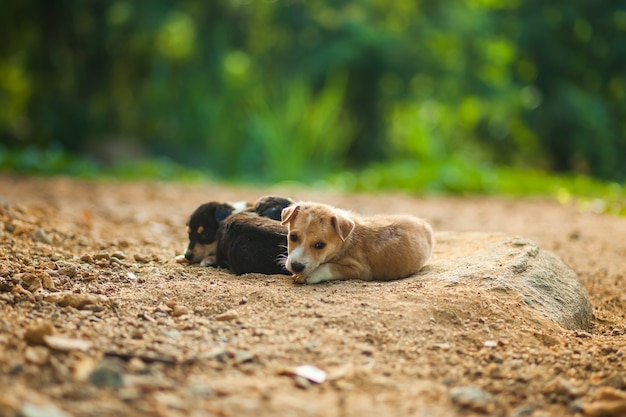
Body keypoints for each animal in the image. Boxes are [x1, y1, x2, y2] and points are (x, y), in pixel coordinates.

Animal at [280, 201, 432, 282]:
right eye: (293, 237)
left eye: (320, 245)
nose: (296, 266)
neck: (344, 242)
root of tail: (423, 223)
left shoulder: (359, 269)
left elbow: (328, 267)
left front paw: (309, 275)